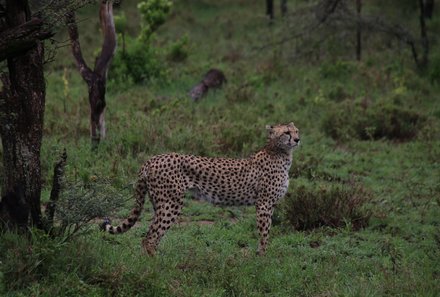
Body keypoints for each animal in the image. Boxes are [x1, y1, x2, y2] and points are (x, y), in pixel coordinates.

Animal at [103, 122, 300, 254]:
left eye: (297, 131)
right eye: (287, 132)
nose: (298, 139)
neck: (281, 152)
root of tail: (153, 158)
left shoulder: (268, 204)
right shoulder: (264, 204)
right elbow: (265, 234)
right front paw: (262, 260)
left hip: (159, 203)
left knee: (150, 235)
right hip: (171, 203)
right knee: (150, 238)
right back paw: (157, 269)